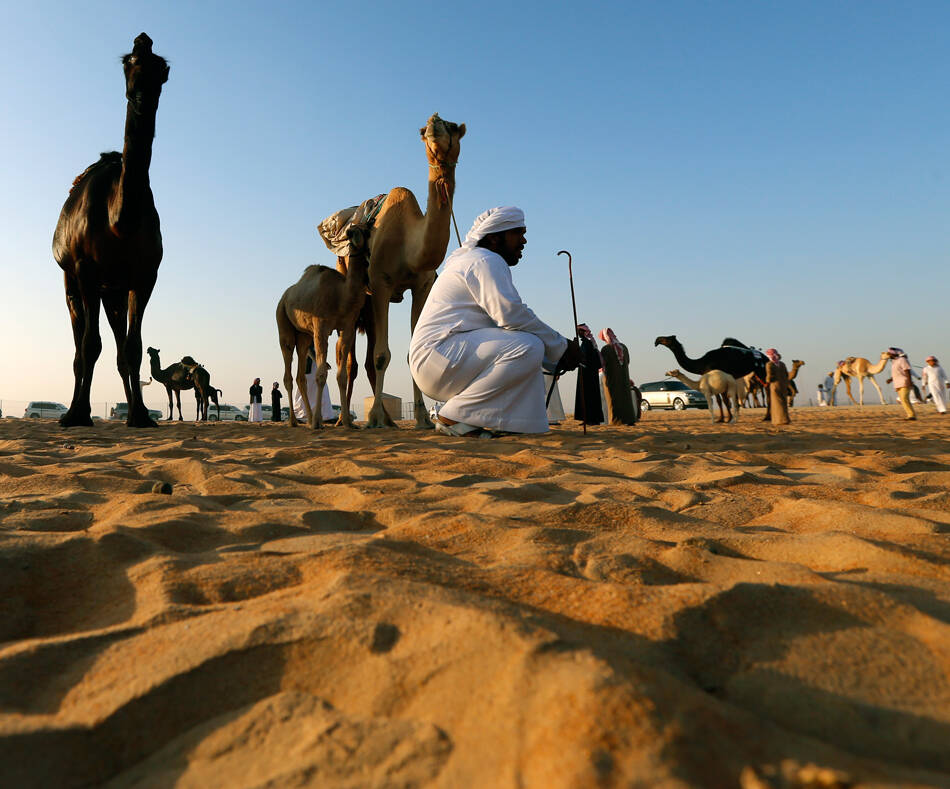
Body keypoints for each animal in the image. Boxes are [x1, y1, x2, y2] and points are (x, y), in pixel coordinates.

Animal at [51, 32, 169, 424]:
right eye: (128, 62)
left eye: (162, 68)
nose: (142, 94)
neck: (120, 223)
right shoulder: (85, 268)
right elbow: (89, 345)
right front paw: (77, 415)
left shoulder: (145, 275)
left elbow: (132, 348)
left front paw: (141, 417)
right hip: (72, 279)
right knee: (80, 343)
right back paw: (77, 411)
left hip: (113, 289)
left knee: (117, 346)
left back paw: (133, 409)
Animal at [278, 222, 370, 430]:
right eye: (351, 231)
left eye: (367, 230)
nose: (357, 238)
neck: (342, 296)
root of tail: (285, 297)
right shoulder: (321, 327)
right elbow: (321, 374)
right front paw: (319, 422)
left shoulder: (347, 327)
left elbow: (341, 375)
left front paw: (347, 422)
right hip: (283, 324)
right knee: (288, 373)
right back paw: (295, 421)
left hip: (304, 336)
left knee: (301, 375)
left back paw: (309, 418)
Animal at [366, 112, 466, 424]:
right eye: (423, 131)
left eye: (452, 126)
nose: (434, 123)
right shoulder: (381, 282)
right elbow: (381, 355)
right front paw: (374, 417)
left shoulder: (422, 286)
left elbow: (412, 353)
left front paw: (423, 417)